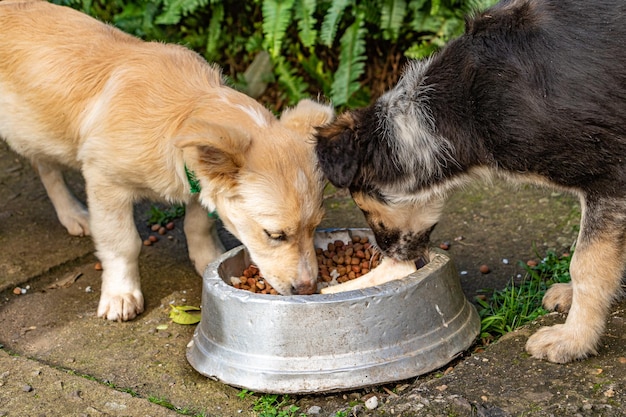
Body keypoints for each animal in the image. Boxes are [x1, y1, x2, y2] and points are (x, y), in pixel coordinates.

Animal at [316, 0, 624, 362]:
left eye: (363, 205)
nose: (388, 253)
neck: (466, 103)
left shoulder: (610, 175)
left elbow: (587, 263)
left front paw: (573, 340)